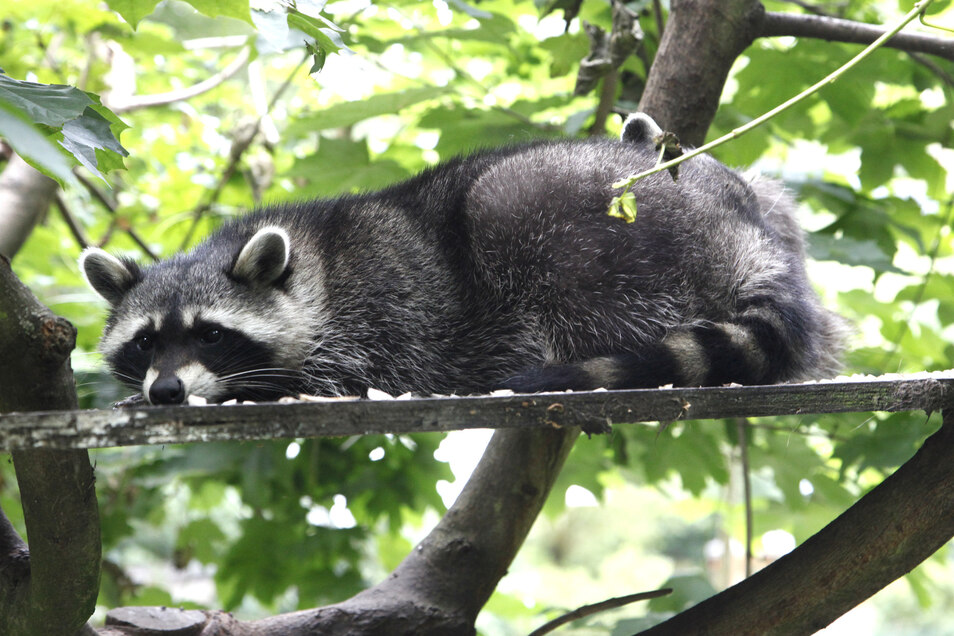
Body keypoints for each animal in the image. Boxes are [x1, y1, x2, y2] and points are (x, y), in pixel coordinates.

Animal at [80, 113, 840, 402]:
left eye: (211, 334)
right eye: (145, 342)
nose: (165, 391)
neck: (312, 266)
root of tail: (743, 239)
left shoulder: (383, 306)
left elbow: (352, 368)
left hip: (614, 237)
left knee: (507, 208)